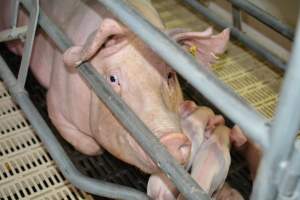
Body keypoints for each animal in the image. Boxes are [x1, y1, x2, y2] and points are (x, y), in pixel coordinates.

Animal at [0, 0, 230, 173]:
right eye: (112, 79)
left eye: (170, 75)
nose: (172, 139)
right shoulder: (57, 103)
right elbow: (88, 145)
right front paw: (98, 149)